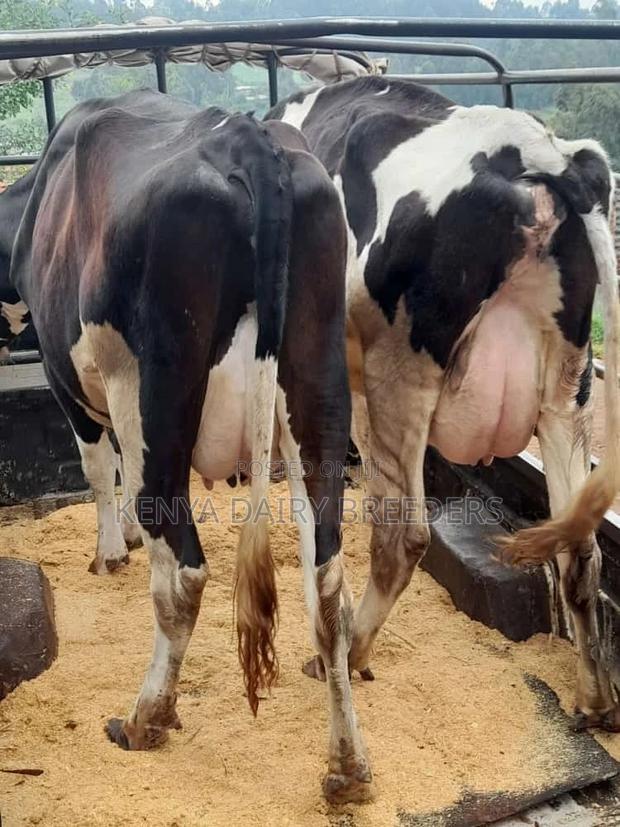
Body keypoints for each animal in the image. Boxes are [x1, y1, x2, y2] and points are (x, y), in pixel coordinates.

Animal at [6, 89, 371, 803]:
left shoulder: (69, 379)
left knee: (182, 570)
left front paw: (109, 552)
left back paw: (145, 717)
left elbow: (99, 466)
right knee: (327, 582)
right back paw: (347, 767)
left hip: (155, 390)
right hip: (316, 392)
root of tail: (247, 138)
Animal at [268, 76, 620, 732]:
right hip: (566, 389)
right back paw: (595, 700)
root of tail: (539, 149)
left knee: (404, 534)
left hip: (398, 375)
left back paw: (350, 653)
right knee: (579, 548)